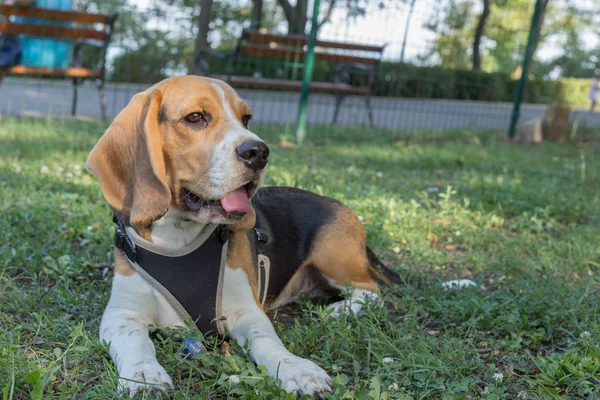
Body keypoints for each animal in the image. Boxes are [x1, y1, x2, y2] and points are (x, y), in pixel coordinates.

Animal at [86, 76, 398, 396]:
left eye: (246, 118)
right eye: (195, 117)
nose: (259, 152)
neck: (178, 236)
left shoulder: (246, 311)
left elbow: (266, 340)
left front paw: (295, 369)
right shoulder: (121, 315)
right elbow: (135, 343)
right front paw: (143, 375)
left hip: (331, 256)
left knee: (371, 291)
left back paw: (338, 310)